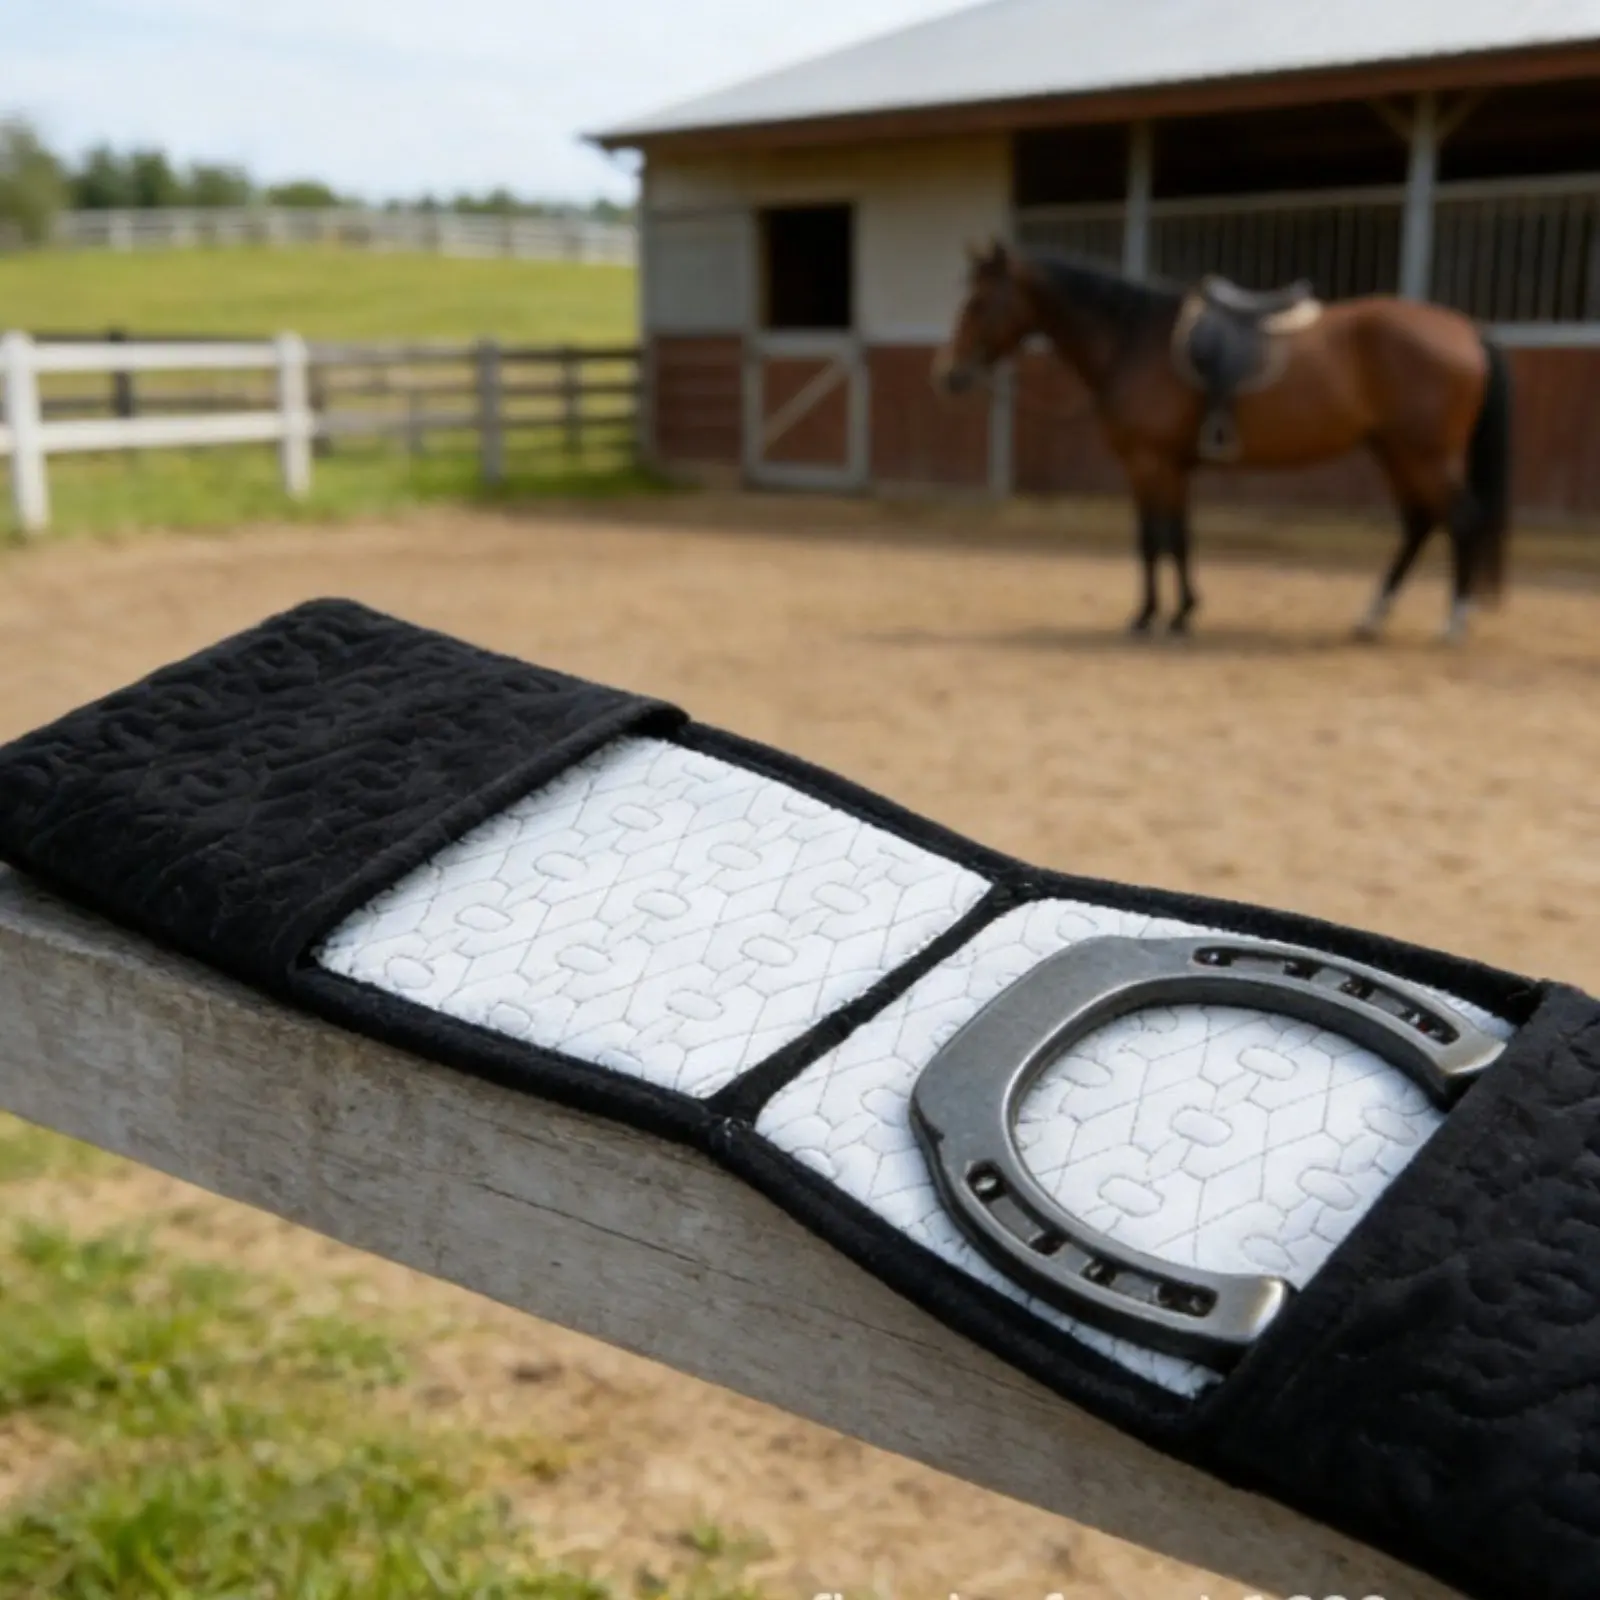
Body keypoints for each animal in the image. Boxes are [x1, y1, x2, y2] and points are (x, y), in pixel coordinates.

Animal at [933, 241, 1513, 643]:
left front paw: (1149, 617)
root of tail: (1467, 329)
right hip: (1395, 452)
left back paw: (1453, 622)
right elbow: (1177, 538)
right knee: (1420, 524)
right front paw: (1181, 613)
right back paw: (1371, 618)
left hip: (1425, 455)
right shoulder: (1173, 466)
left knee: (1461, 519)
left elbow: (1154, 540)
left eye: (979, 301)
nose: (949, 375)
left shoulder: (1148, 462)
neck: (1134, 341)